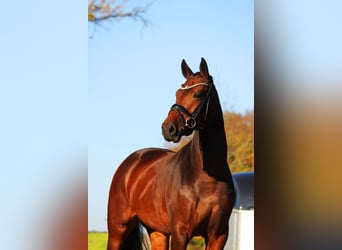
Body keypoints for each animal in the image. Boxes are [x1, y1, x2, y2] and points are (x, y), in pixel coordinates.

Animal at [107, 57, 235, 249]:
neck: (206, 178)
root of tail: (131, 162)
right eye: (177, 93)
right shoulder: (181, 233)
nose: (168, 128)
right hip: (117, 229)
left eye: (198, 94)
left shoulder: (218, 235)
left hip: (157, 232)